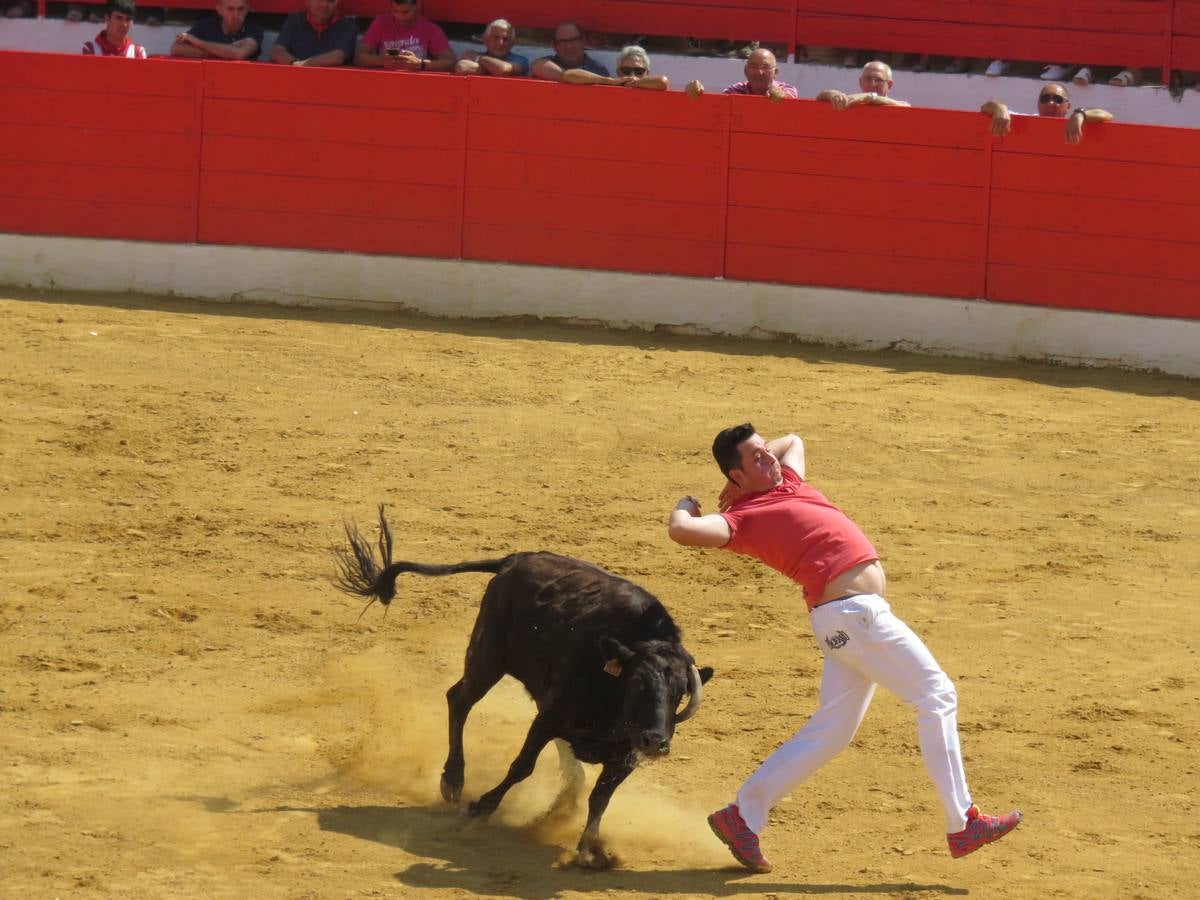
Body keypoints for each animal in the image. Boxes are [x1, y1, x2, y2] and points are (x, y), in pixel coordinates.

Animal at [333, 508, 710, 868]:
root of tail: (516, 558)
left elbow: (601, 796)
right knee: (459, 699)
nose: (656, 742)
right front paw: (479, 808)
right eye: (637, 683)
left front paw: (589, 850)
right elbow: (522, 766)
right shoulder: (548, 720)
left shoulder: (625, 754)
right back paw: (453, 780)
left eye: (680, 693)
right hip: (488, 656)